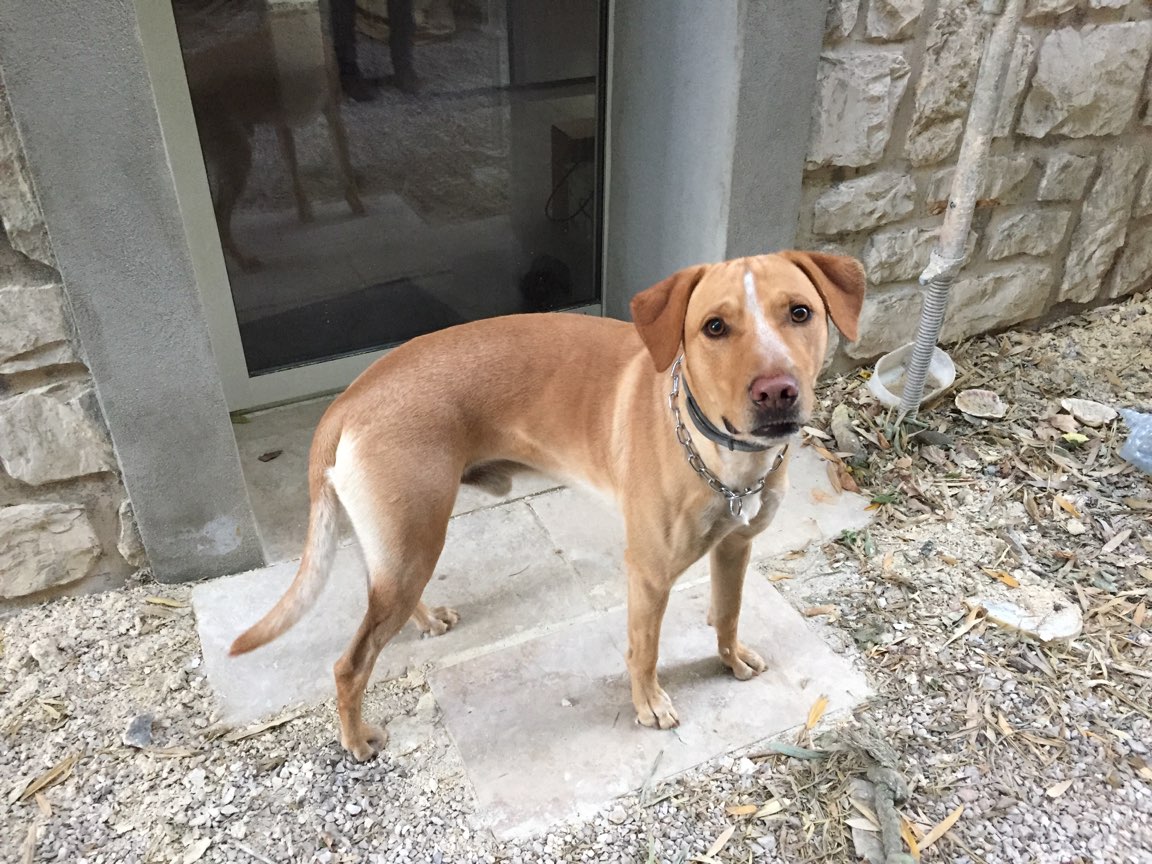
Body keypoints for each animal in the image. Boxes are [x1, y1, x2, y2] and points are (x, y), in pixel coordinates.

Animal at [231, 248, 866, 755]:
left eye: (800, 313)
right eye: (714, 327)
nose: (777, 392)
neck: (724, 454)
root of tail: (349, 397)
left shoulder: (735, 549)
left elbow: (728, 613)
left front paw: (729, 659)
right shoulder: (649, 574)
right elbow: (644, 649)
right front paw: (648, 704)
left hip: (399, 548)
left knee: (383, 600)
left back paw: (427, 620)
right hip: (415, 543)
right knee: (349, 665)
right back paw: (357, 740)